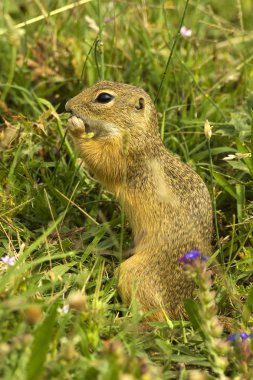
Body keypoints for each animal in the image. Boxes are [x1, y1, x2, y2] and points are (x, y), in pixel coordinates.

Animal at [65, 81, 213, 320]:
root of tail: (182, 308)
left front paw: (76, 128)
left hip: (134, 274)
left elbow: (99, 159)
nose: (68, 106)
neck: (137, 134)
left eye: (104, 98)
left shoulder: (122, 155)